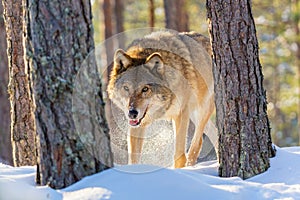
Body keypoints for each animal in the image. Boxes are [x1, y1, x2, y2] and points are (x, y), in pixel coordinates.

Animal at [106, 30, 214, 168]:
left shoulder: (181, 114)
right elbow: (134, 159)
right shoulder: (138, 125)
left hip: (201, 110)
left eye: (145, 89)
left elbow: (179, 155)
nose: (132, 113)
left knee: (198, 141)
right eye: (126, 88)